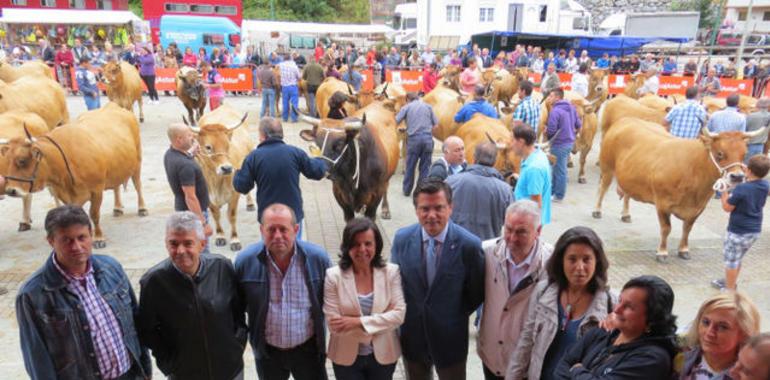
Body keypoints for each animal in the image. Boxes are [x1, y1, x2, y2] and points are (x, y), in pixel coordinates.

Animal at [1, 102, 147, 248]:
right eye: (6, 161)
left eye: (22, 160)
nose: (10, 190)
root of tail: (113, 106)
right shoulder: (66, 196)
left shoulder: (97, 190)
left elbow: (94, 214)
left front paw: (98, 238)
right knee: (116, 186)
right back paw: (117, 208)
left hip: (137, 162)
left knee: (138, 185)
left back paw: (142, 208)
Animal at [186, 104, 255, 252]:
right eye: (208, 147)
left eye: (227, 145)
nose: (227, 168)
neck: (216, 180)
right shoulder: (207, 196)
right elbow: (216, 214)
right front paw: (220, 236)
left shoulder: (234, 194)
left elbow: (232, 215)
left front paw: (234, 239)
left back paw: (250, 203)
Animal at [592, 117, 760, 262]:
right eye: (720, 153)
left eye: (744, 154)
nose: (737, 177)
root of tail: (627, 119)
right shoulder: (662, 204)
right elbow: (666, 228)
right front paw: (662, 252)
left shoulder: (698, 208)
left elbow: (687, 229)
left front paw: (683, 250)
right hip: (607, 168)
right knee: (602, 188)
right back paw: (597, 211)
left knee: (627, 193)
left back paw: (626, 214)